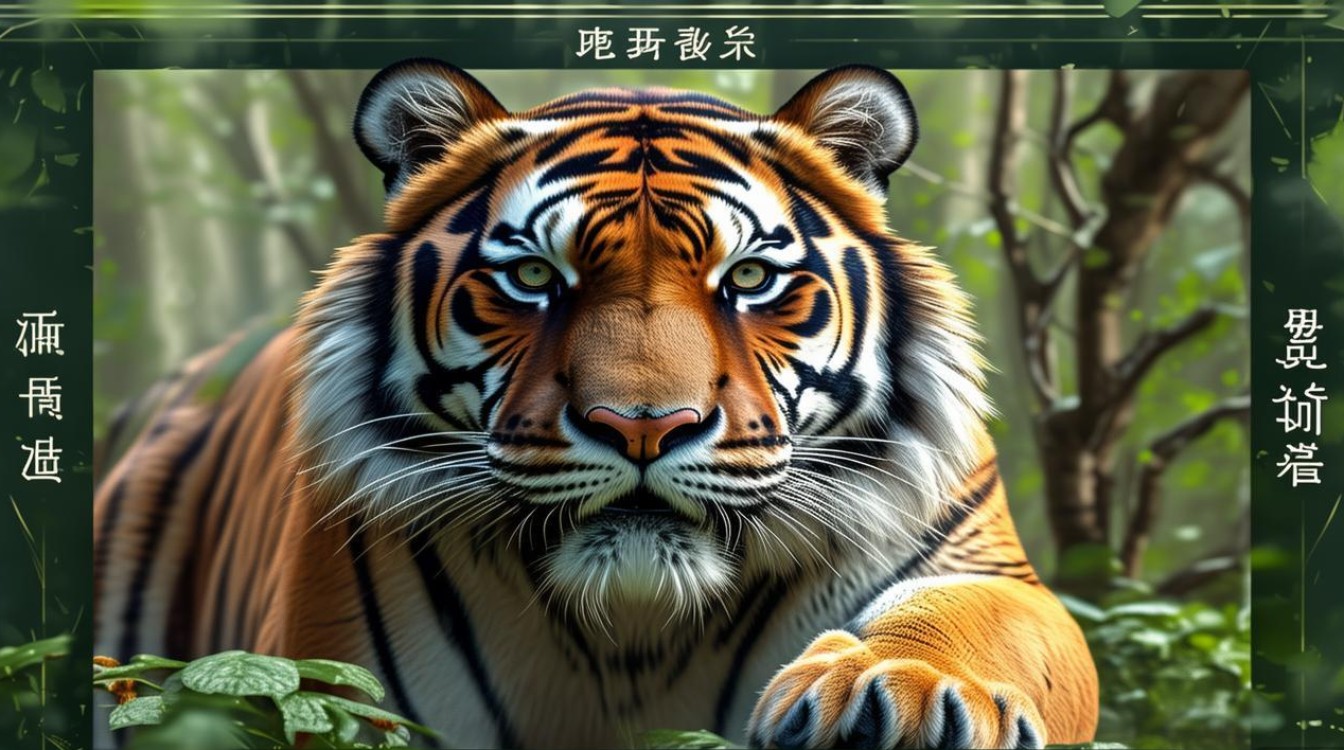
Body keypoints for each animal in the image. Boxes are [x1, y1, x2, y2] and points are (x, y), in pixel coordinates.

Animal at [94, 60, 1099, 749]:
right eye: (536, 277)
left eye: (750, 279)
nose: (643, 427)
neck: (636, 634)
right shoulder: (328, 677)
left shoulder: (983, 565)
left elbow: (982, 620)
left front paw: (899, 690)